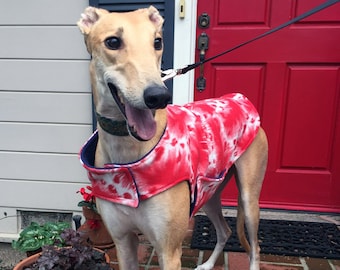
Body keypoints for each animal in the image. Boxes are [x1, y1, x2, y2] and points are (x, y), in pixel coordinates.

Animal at [77, 5, 268, 270]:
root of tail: (240, 98)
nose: (158, 96)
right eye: (112, 42)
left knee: (255, 245)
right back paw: (207, 264)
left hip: (249, 200)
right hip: (209, 191)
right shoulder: (123, 243)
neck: (127, 154)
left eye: (157, 41)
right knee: (225, 231)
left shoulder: (169, 251)